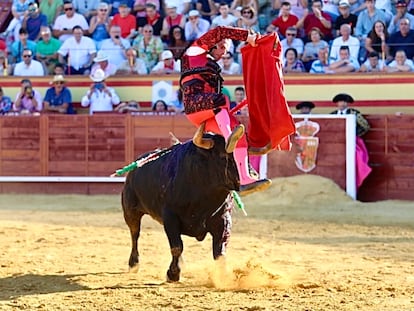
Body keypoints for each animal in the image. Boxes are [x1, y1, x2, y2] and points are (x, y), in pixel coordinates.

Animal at [121, 135, 239, 282]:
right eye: (223, 157)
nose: (237, 182)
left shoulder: (223, 219)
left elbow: (220, 251)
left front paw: (224, 277)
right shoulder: (170, 217)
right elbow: (177, 247)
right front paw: (172, 274)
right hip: (130, 211)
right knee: (135, 234)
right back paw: (133, 264)